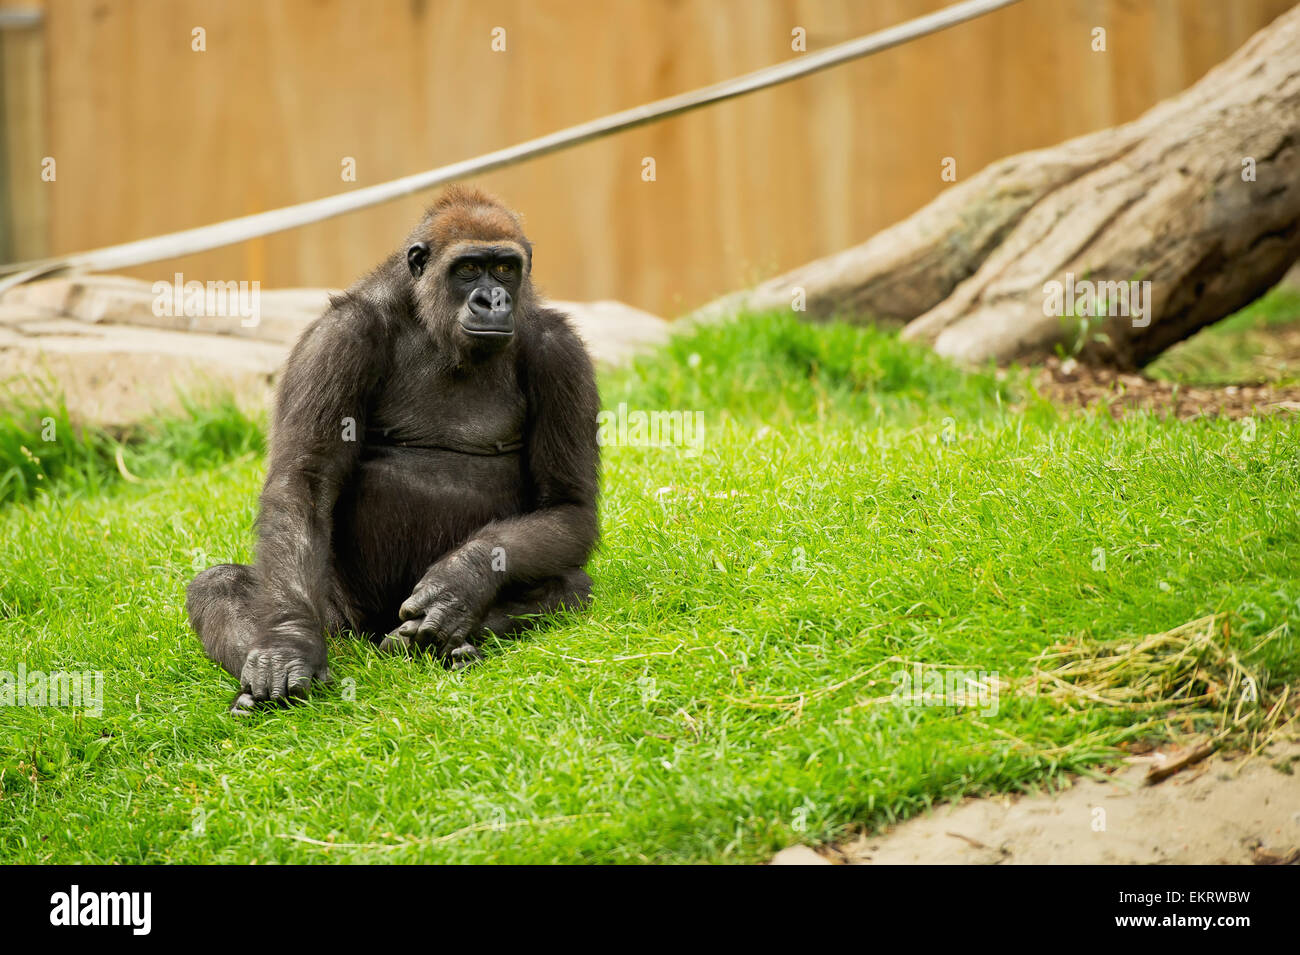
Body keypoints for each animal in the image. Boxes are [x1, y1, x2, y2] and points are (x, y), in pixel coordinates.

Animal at [185, 186, 599, 713]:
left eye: (505, 268)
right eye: (469, 268)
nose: (493, 299)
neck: (429, 321)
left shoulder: (560, 352)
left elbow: (568, 505)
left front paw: (461, 582)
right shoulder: (338, 336)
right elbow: (304, 480)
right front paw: (285, 644)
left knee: (572, 586)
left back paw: (452, 642)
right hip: (345, 626)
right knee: (218, 586)